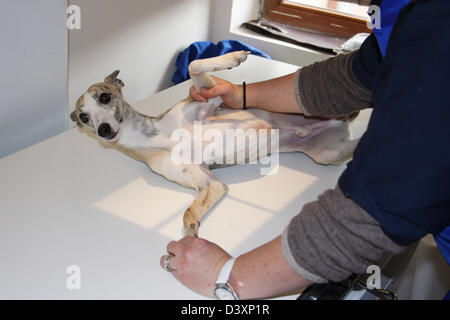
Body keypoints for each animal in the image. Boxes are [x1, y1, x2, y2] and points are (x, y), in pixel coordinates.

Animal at [70, 51, 358, 238]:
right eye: (83, 117)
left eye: (105, 96)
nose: (104, 130)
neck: (157, 136)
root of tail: (336, 124)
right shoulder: (209, 183)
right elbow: (189, 214)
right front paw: (190, 237)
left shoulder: (208, 98)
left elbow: (195, 65)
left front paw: (234, 57)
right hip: (328, 153)